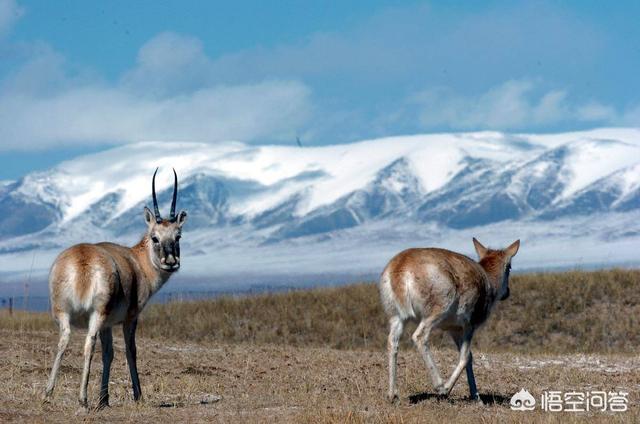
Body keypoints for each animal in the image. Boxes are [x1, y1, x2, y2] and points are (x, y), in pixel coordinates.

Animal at [43, 168, 185, 410]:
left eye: (178, 236)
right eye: (155, 237)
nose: (170, 262)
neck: (137, 262)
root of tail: (82, 258)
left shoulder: (108, 325)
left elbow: (108, 354)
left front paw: (104, 399)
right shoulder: (130, 318)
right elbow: (130, 351)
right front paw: (138, 395)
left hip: (63, 314)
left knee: (63, 341)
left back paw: (47, 394)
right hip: (96, 315)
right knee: (88, 344)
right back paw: (82, 399)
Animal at [380, 237, 520, 402]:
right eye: (509, 267)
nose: (507, 292)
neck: (487, 280)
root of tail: (402, 264)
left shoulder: (454, 330)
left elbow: (469, 357)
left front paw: (476, 397)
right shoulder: (469, 326)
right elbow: (465, 356)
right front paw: (448, 389)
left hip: (397, 317)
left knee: (392, 342)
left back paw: (392, 394)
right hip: (435, 313)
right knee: (419, 336)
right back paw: (440, 385)